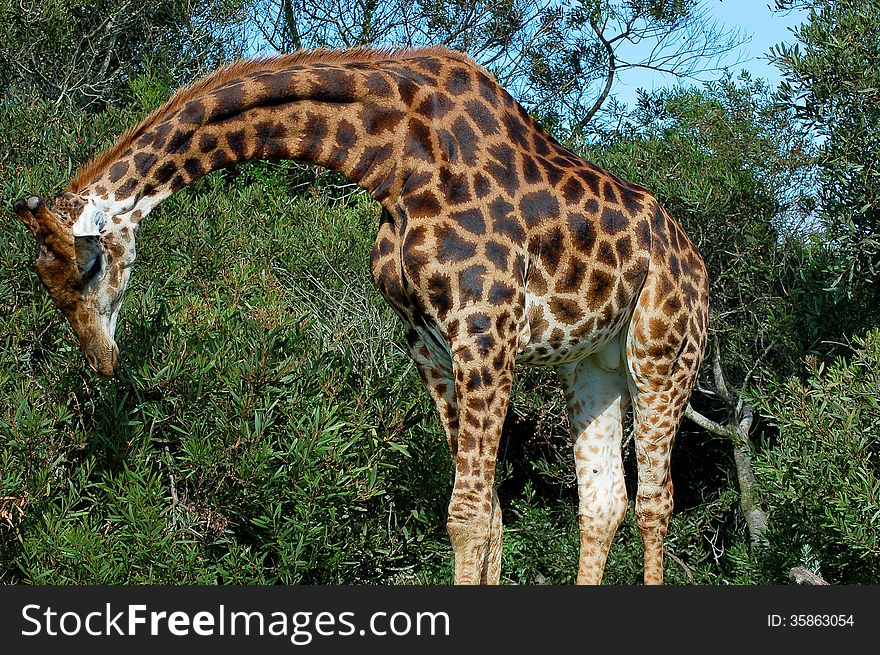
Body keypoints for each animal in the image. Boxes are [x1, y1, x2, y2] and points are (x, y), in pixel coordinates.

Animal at [12, 46, 708, 584]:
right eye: (45, 284)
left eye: (88, 267)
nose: (103, 361)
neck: (396, 164)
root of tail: (695, 263)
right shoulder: (431, 343)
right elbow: (485, 514)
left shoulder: (485, 331)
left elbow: (467, 510)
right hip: (591, 365)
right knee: (603, 502)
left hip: (663, 354)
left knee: (655, 500)